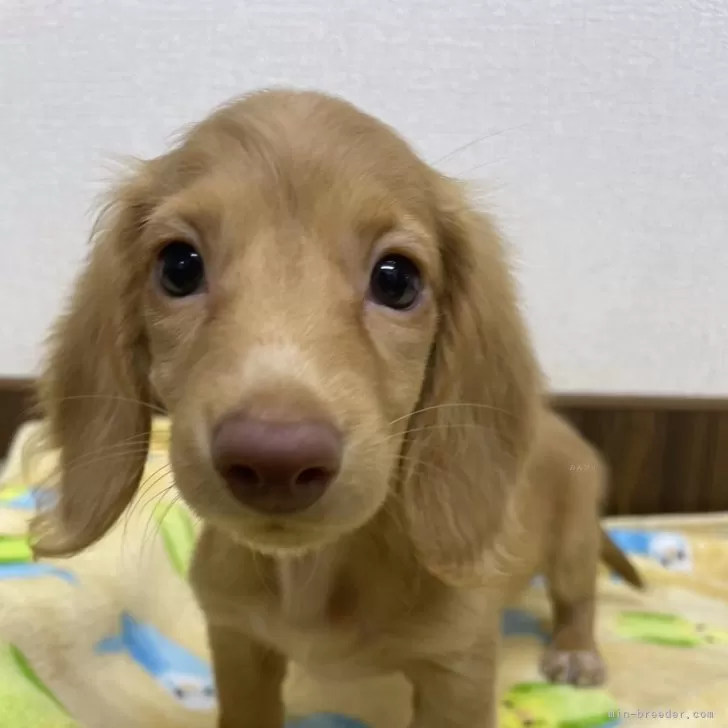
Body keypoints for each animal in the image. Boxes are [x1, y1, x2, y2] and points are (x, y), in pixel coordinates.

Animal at [31, 92, 640, 728]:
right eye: (179, 266)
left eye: (396, 279)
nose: (274, 461)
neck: (312, 570)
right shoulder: (237, 641)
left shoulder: (459, 667)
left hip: (574, 540)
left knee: (578, 596)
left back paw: (575, 651)